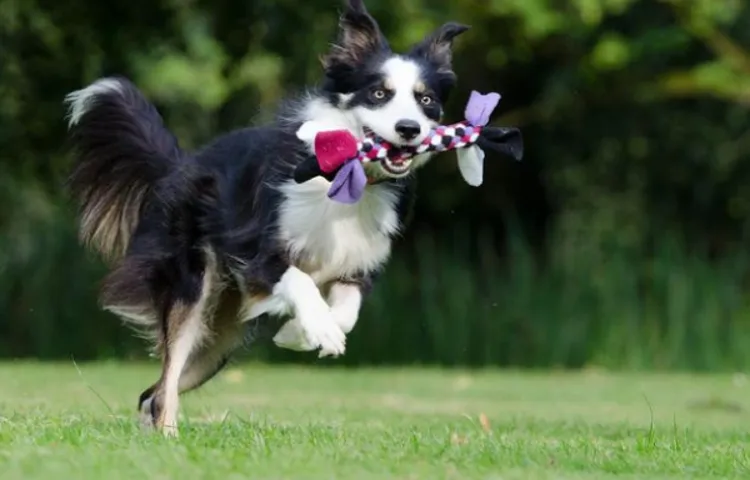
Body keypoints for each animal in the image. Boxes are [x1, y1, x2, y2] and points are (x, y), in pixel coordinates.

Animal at [67, 0, 472, 436]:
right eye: (379, 93)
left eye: (426, 100)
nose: (409, 129)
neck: (349, 176)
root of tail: (180, 165)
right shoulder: (258, 252)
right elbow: (299, 280)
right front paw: (318, 329)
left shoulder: (359, 263)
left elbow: (347, 311)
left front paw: (301, 333)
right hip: (193, 287)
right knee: (167, 378)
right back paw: (169, 436)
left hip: (221, 337)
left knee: (153, 392)